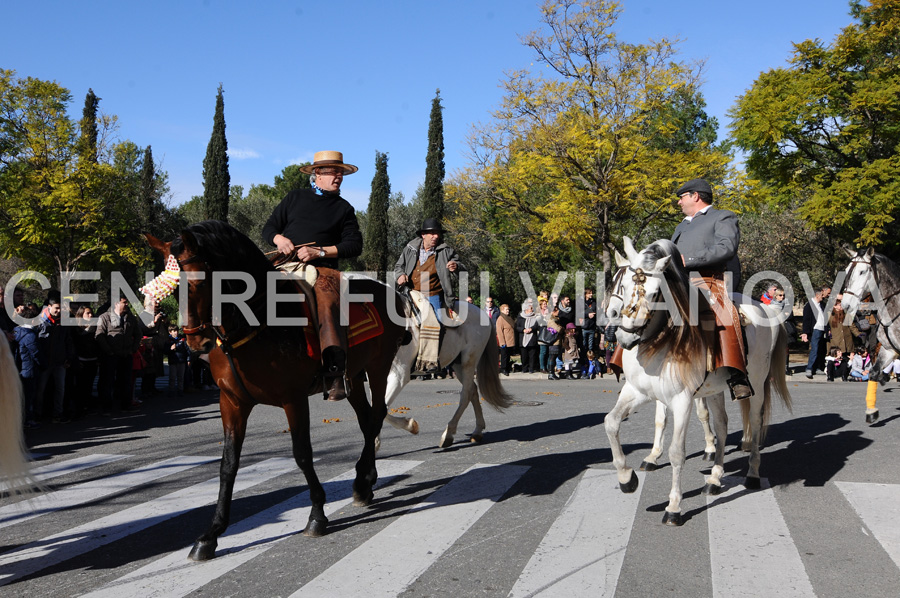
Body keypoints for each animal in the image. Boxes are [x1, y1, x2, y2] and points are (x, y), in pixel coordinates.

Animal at [146, 221, 410, 564]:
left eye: (200, 282)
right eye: (173, 289)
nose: (194, 342)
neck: (257, 320)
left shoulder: (293, 399)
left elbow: (302, 454)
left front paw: (317, 515)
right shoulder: (232, 402)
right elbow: (228, 464)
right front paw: (211, 534)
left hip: (378, 368)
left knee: (377, 415)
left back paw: (363, 481)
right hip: (352, 376)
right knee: (367, 421)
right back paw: (364, 483)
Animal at [378, 300, 512, 450]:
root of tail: (480, 311)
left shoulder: (399, 375)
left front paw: (410, 426)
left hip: (469, 361)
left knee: (466, 394)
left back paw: (448, 434)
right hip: (458, 365)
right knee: (472, 390)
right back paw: (477, 431)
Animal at [604, 239, 788, 524]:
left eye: (656, 293)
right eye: (620, 285)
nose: (624, 336)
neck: (659, 340)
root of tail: (765, 307)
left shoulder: (681, 401)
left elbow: (676, 452)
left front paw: (674, 506)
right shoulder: (638, 391)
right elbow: (612, 422)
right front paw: (627, 477)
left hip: (756, 386)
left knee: (755, 424)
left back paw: (752, 474)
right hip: (714, 390)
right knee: (722, 426)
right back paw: (714, 478)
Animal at [836, 246, 900, 424]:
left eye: (862, 272)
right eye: (846, 271)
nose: (845, 304)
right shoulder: (888, 350)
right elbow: (873, 372)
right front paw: (872, 412)